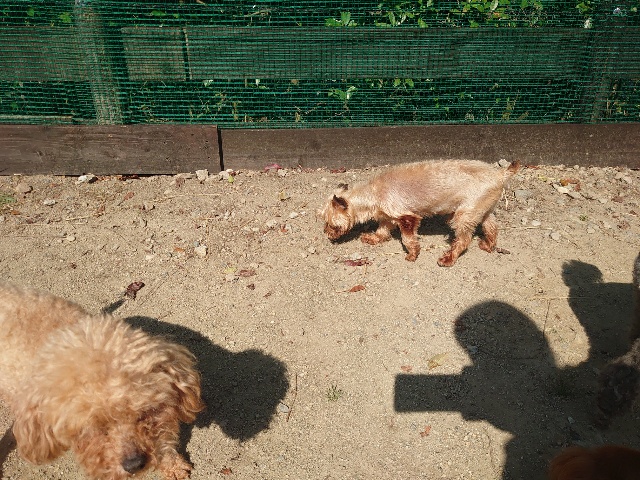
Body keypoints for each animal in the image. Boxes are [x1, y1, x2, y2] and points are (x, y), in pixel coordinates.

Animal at [318, 160, 520, 266]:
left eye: (331, 224)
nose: (326, 234)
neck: (373, 193)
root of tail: (500, 174)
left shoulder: (407, 217)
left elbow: (408, 238)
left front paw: (412, 254)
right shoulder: (388, 216)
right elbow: (382, 230)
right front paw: (374, 238)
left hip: (463, 215)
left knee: (463, 239)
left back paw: (449, 257)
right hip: (481, 209)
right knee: (491, 227)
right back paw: (488, 245)